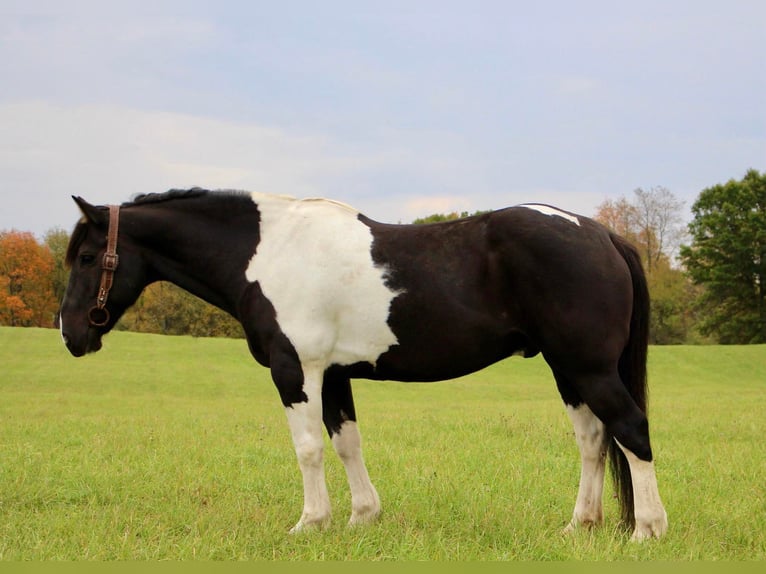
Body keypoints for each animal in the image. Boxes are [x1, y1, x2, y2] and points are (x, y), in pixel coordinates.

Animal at [60, 189, 668, 540]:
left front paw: (310, 523)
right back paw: (579, 525)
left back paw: (647, 530)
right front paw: (361, 517)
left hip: (588, 368)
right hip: (568, 371)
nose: (69, 334)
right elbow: (346, 443)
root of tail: (600, 233)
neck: (270, 252)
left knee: (632, 430)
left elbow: (307, 448)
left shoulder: (296, 370)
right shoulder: (333, 375)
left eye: (88, 257)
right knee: (593, 440)